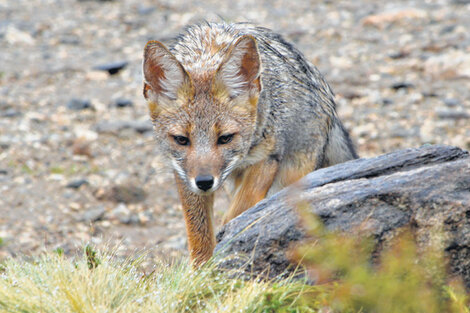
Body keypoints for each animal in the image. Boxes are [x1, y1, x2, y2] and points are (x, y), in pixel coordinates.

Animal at [142, 22, 356, 264]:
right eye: (181, 140)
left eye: (225, 138)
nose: (204, 182)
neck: (207, 54)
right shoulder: (183, 174)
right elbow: (199, 238)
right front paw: (204, 269)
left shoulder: (267, 158)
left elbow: (238, 212)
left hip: (288, 177)